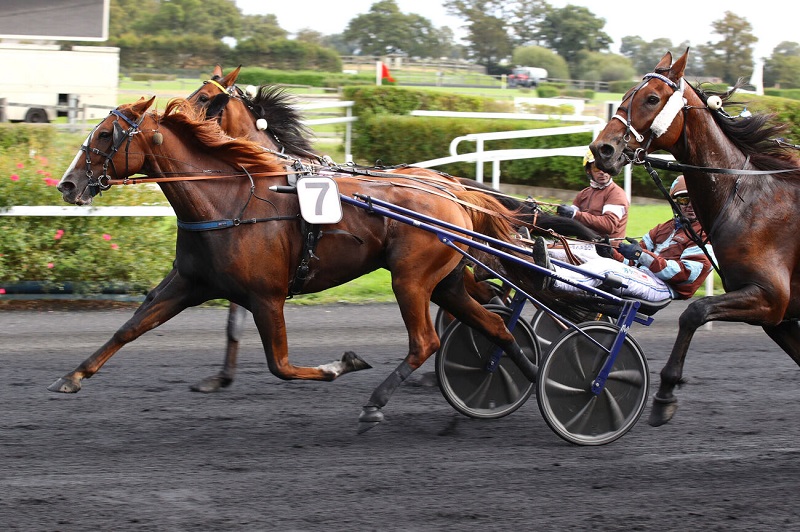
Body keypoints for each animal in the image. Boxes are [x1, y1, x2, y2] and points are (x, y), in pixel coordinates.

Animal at [53, 96, 548, 432]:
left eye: (104, 135)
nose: (67, 184)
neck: (229, 197)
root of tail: (454, 190)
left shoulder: (266, 297)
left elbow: (282, 365)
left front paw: (341, 364)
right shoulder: (190, 283)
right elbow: (130, 327)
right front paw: (72, 376)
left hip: (410, 279)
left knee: (426, 341)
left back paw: (376, 402)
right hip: (445, 282)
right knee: (495, 325)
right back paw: (535, 378)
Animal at [183, 65, 600, 390]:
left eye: (204, 98)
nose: (173, 114)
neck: (274, 175)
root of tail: (456, 186)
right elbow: (234, 319)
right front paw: (219, 377)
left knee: (484, 300)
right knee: (485, 298)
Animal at [588, 47, 800, 426]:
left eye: (652, 98)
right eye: (625, 94)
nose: (603, 149)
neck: (748, 198)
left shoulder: (770, 297)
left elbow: (694, 311)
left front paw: (665, 394)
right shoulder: (781, 317)